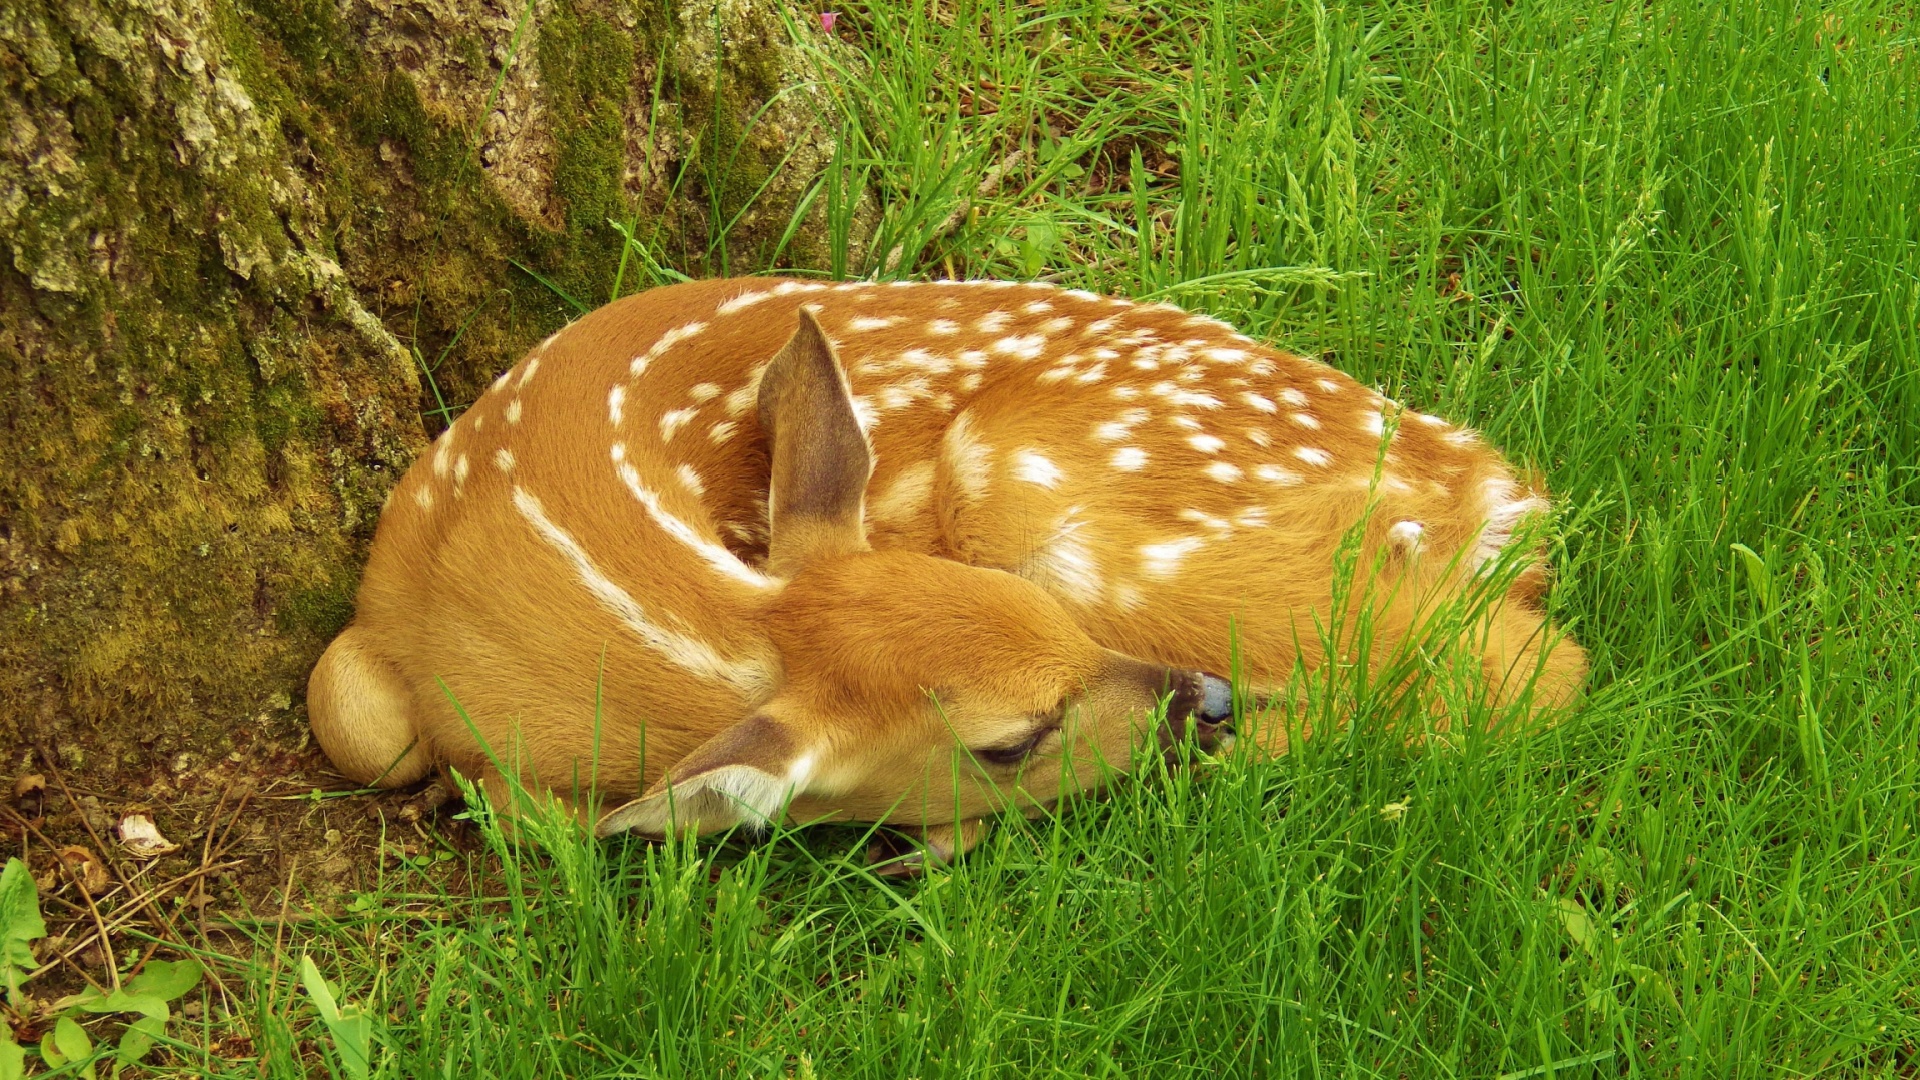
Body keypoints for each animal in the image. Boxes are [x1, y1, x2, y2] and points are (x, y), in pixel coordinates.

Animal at [307, 277, 1586, 871]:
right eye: (1006, 739)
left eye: (1048, 625)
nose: (1206, 704)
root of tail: (1494, 491)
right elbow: (357, 713)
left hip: (1044, 493)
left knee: (1527, 673)